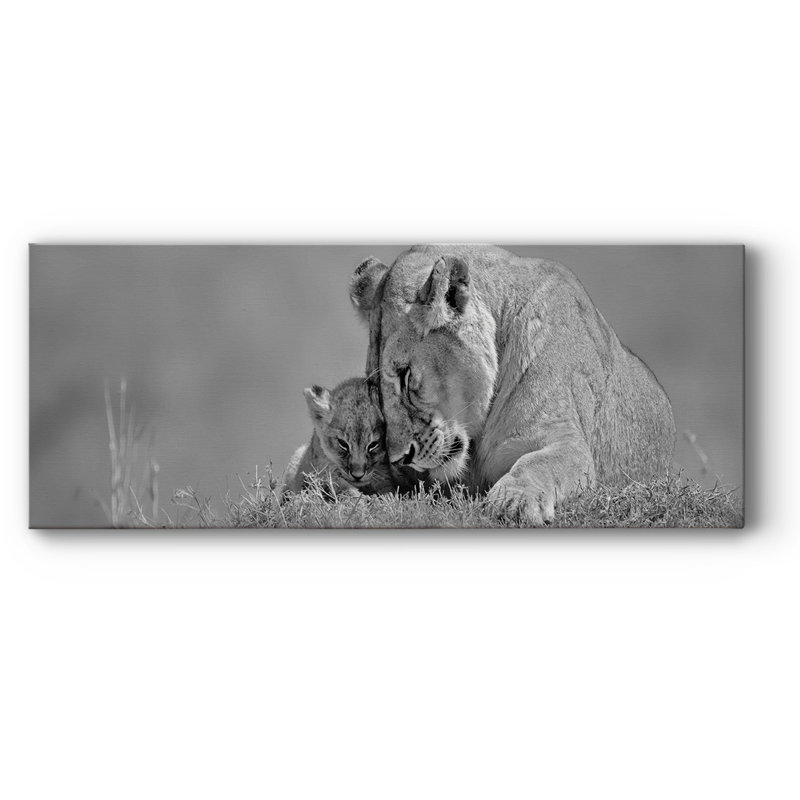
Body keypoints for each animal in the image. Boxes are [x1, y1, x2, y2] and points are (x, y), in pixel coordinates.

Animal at [349, 244, 676, 525]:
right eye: (376, 388)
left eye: (405, 376)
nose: (399, 459)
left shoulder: (565, 439)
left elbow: (538, 463)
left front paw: (513, 501)